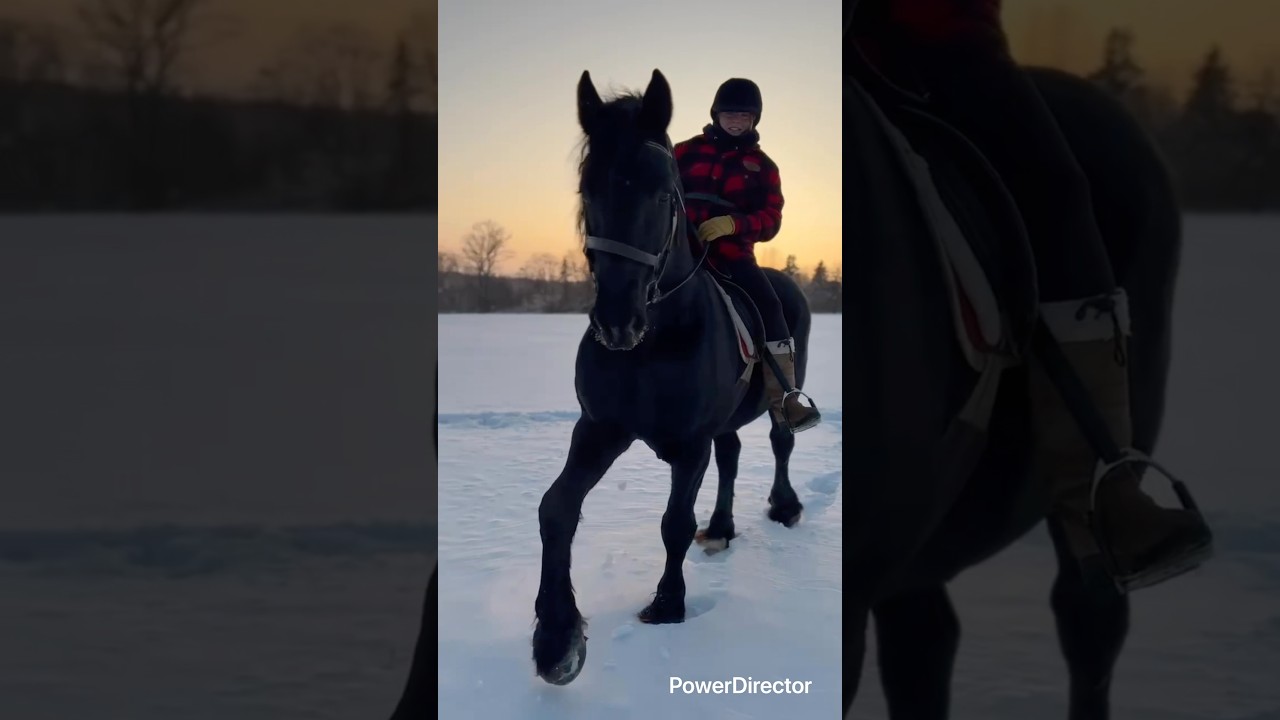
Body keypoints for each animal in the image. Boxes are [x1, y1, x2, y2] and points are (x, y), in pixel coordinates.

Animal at [530, 68, 817, 687]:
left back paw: (784, 507)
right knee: (732, 454)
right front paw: (557, 638)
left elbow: (674, 523)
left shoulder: (689, 444)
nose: (617, 321)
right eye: (587, 190)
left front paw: (667, 606)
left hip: (781, 391)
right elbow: (556, 509)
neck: (654, 342)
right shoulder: (600, 429)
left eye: (664, 194)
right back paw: (724, 526)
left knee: (780, 440)